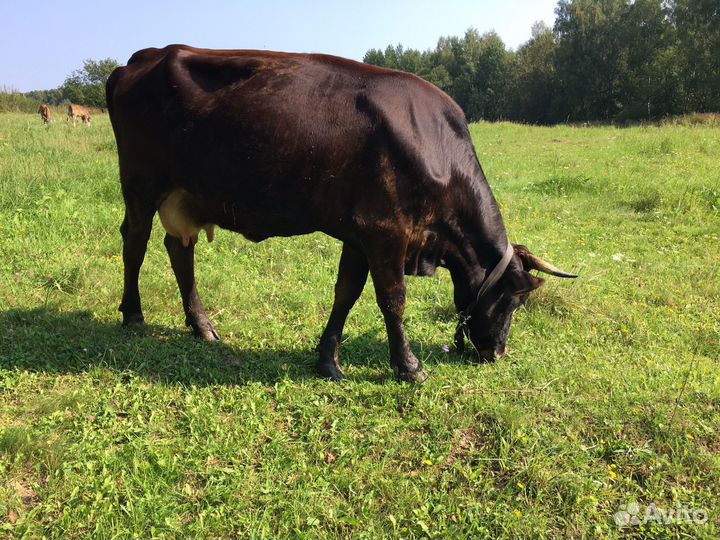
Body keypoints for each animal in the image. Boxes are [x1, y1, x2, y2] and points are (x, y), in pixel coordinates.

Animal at [106, 45, 576, 383]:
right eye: (514, 299)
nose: (498, 352)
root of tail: (143, 57)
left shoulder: (359, 233)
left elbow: (346, 293)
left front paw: (327, 360)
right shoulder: (386, 231)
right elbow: (393, 298)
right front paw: (409, 366)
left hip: (185, 195)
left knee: (178, 250)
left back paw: (201, 325)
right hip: (141, 184)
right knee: (135, 242)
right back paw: (134, 315)